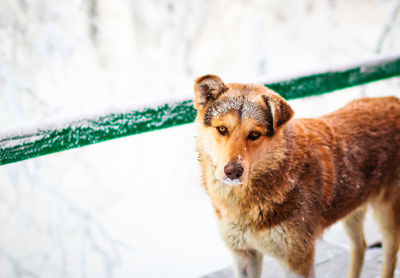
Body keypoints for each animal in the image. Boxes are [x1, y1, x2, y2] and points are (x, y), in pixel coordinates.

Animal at [194, 74, 400, 278]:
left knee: (389, 253)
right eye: (222, 129)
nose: (233, 172)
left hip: (387, 215)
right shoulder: (244, 253)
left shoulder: (297, 260)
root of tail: (393, 100)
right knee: (360, 246)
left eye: (254, 134)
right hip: (351, 208)